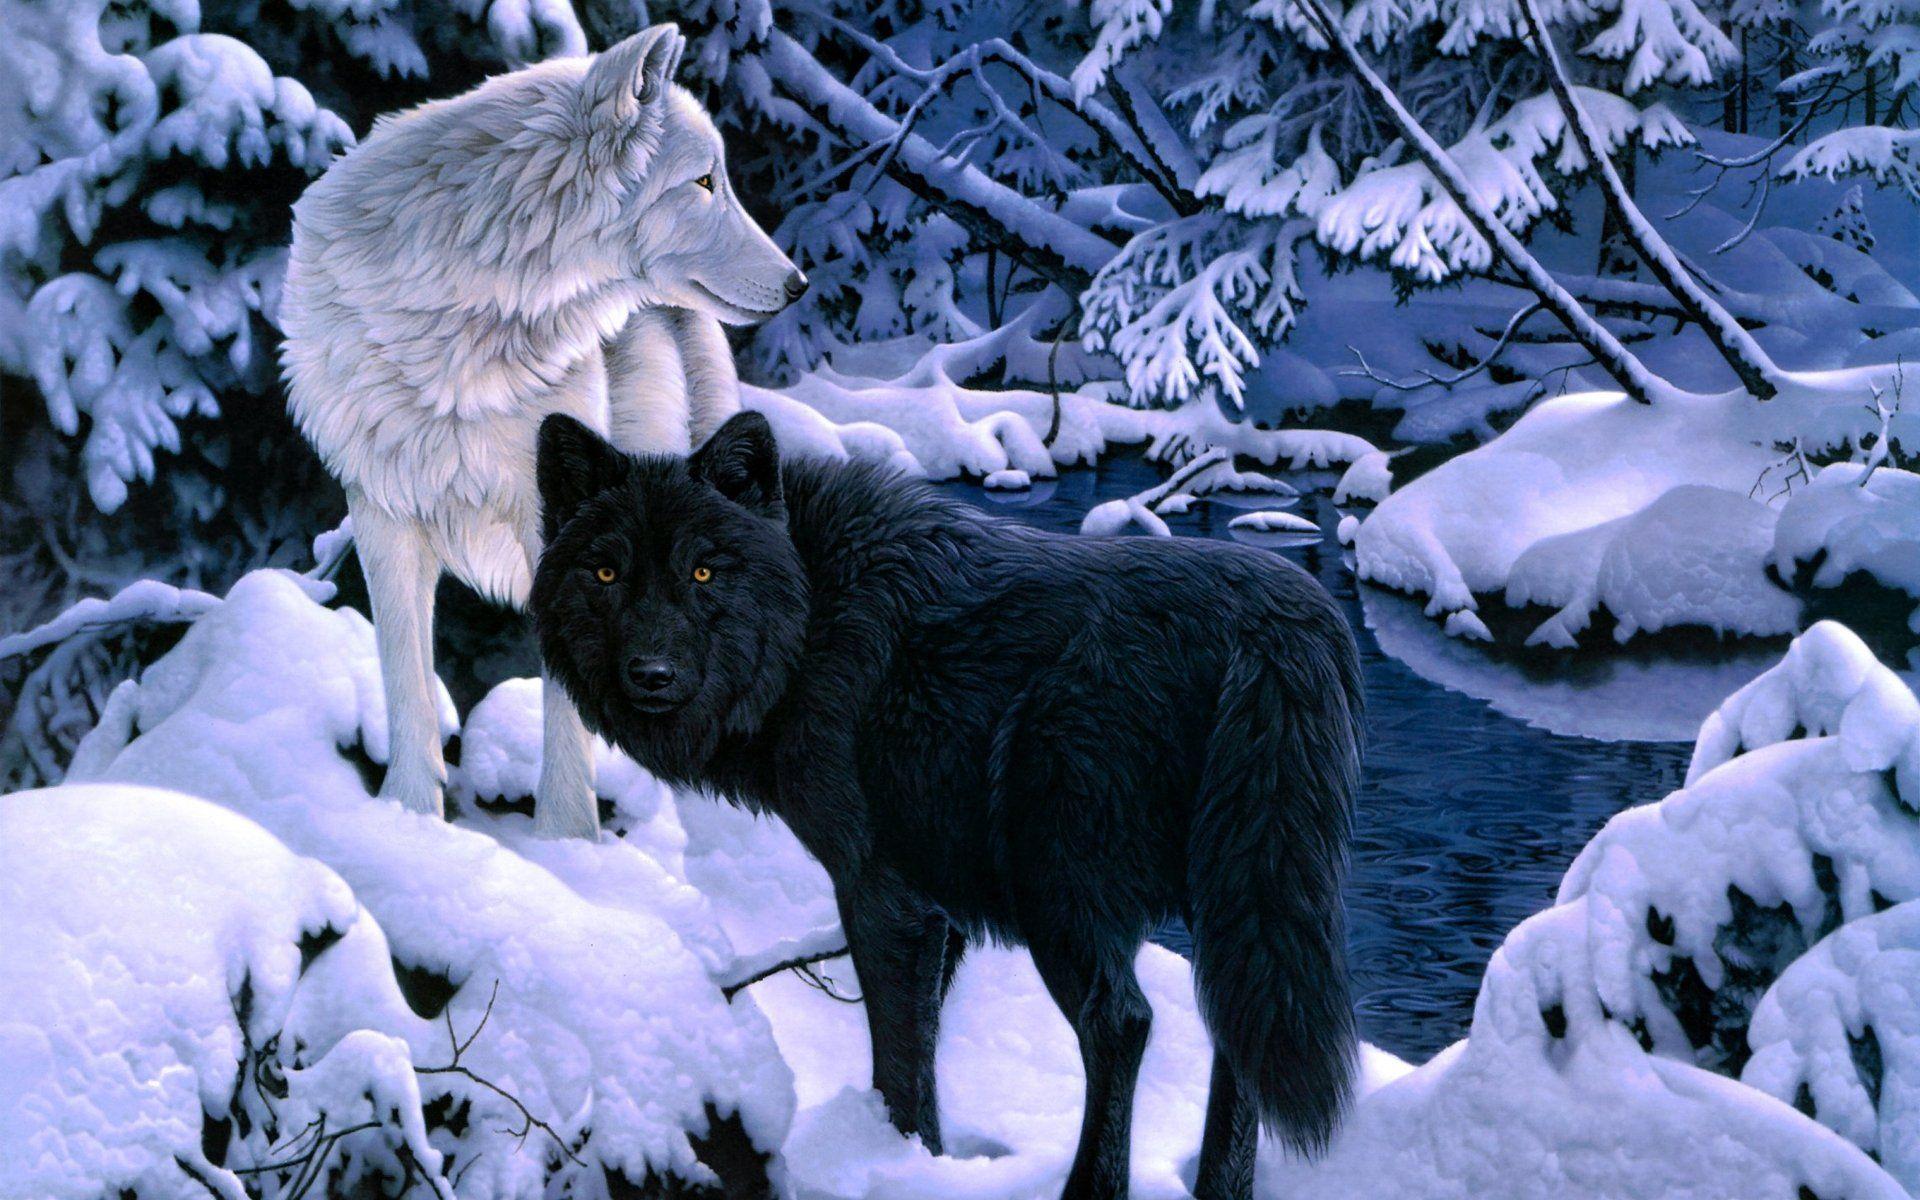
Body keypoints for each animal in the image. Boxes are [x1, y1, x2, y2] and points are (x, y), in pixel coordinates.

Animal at [280, 24, 802, 837]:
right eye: (704, 182)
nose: (797, 283)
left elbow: (568, 704)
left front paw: (566, 842)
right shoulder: (382, 513)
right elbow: (406, 679)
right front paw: (407, 822)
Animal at [530, 412, 1365, 1200]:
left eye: (703, 572)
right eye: (606, 572)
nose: (652, 675)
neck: (812, 616)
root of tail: (1274, 624)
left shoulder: (877, 888)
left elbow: (900, 1060)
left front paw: (893, 1165)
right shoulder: (939, 905)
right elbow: (925, 1042)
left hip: (1059, 892)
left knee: (1123, 1023)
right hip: (1236, 901)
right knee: (1236, 1030)